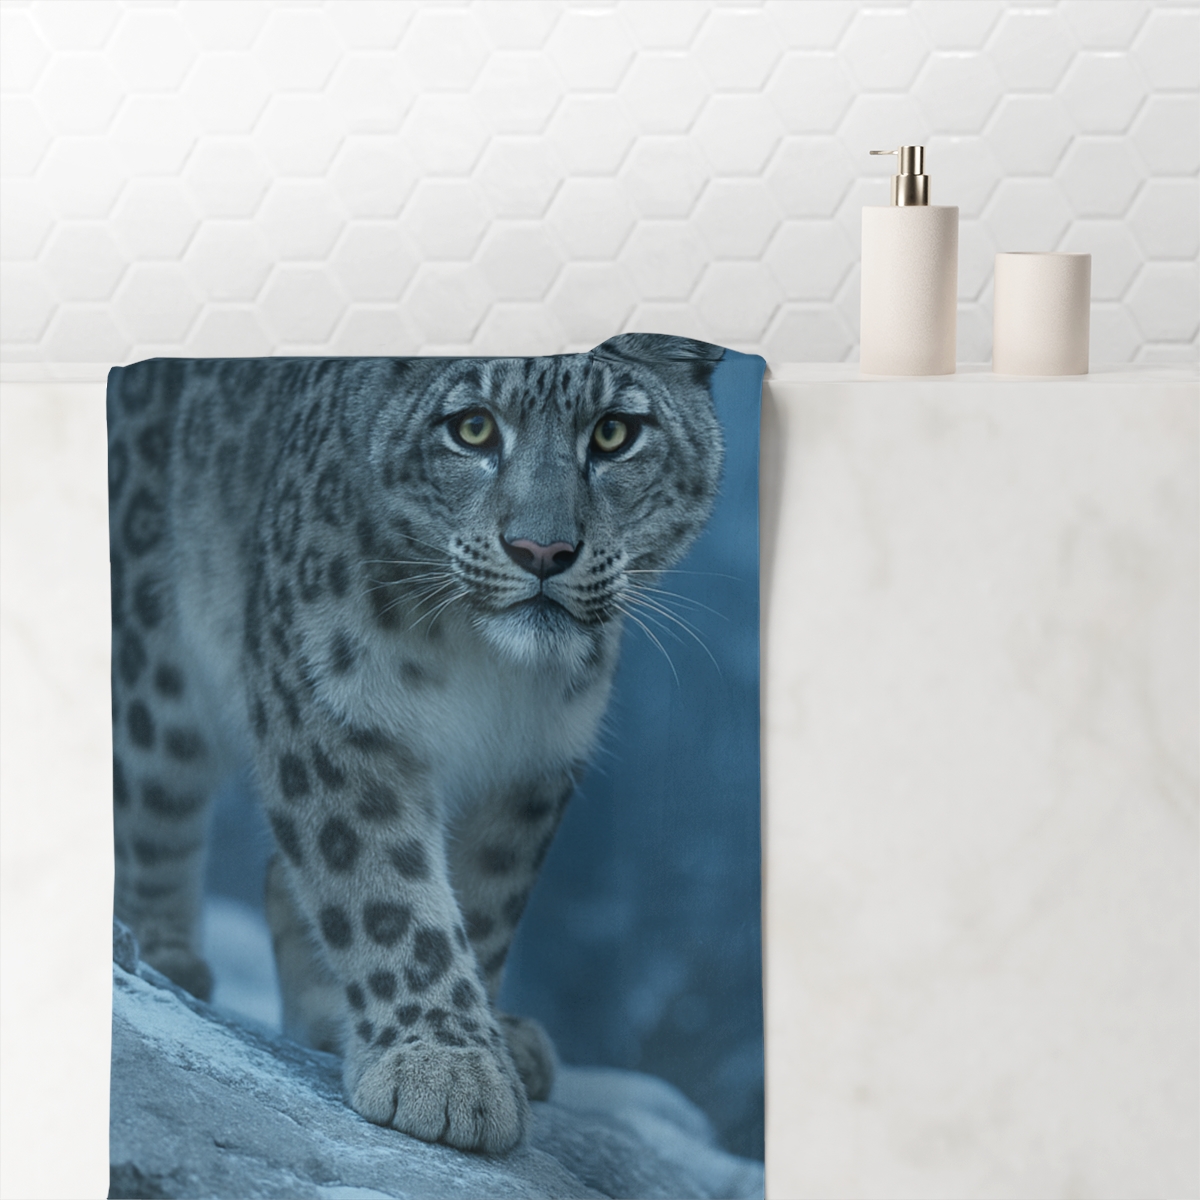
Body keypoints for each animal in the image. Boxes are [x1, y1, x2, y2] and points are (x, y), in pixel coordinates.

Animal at [107, 332, 725, 1154]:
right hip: (149, 647)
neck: (487, 669)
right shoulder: (335, 709)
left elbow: (484, 897)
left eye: (613, 433)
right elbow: (383, 884)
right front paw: (445, 1069)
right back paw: (158, 954)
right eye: (472, 428)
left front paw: (474, 1044)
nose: (541, 551)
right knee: (149, 794)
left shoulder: (531, 763)